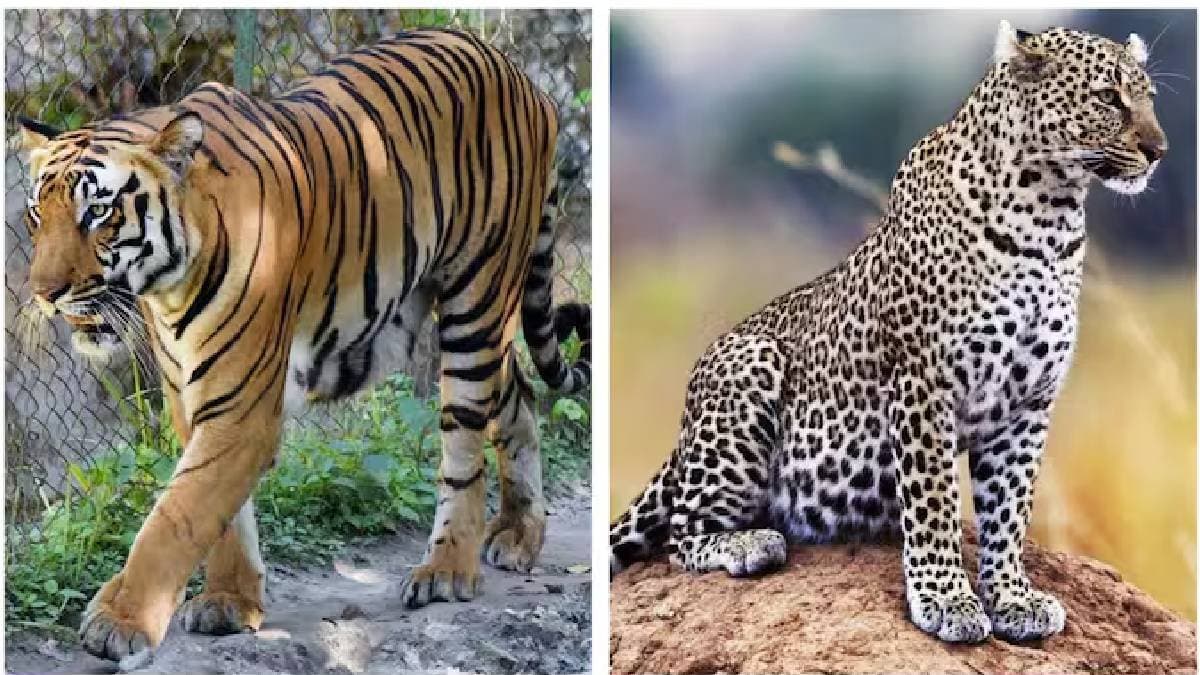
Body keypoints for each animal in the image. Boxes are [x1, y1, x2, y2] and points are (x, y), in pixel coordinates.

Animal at [16, 27, 590, 664]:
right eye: (38, 213)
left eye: (99, 212)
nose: (44, 293)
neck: (167, 288)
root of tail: (524, 77)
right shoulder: (192, 396)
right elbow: (219, 514)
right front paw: (230, 601)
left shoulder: (242, 406)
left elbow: (176, 517)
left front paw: (120, 620)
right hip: (462, 314)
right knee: (517, 395)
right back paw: (519, 533)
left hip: (477, 297)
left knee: (464, 450)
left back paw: (446, 570)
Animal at [609, 21, 1167, 644]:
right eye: (1108, 98)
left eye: (1148, 98)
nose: (1159, 150)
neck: (1051, 218)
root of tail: (680, 438)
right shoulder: (926, 385)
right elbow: (935, 502)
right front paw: (947, 600)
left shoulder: (1029, 403)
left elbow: (1009, 510)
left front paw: (1012, 598)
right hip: (747, 363)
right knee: (682, 535)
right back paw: (750, 544)